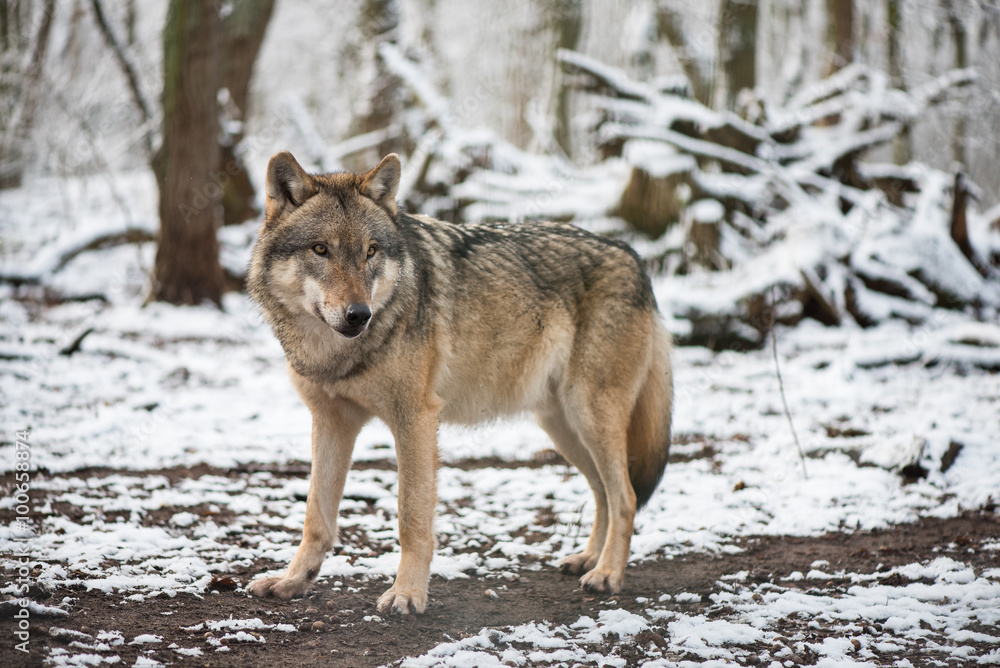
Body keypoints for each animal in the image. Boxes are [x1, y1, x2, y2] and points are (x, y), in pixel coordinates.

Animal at [245, 152, 673, 614]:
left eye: (371, 251)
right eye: (321, 249)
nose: (360, 314)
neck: (335, 353)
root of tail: (635, 258)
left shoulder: (416, 420)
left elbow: (412, 517)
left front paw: (407, 594)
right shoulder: (330, 421)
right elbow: (315, 516)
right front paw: (292, 581)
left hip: (590, 415)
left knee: (626, 496)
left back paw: (607, 573)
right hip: (563, 426)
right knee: (603, 493)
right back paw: (589, 559)